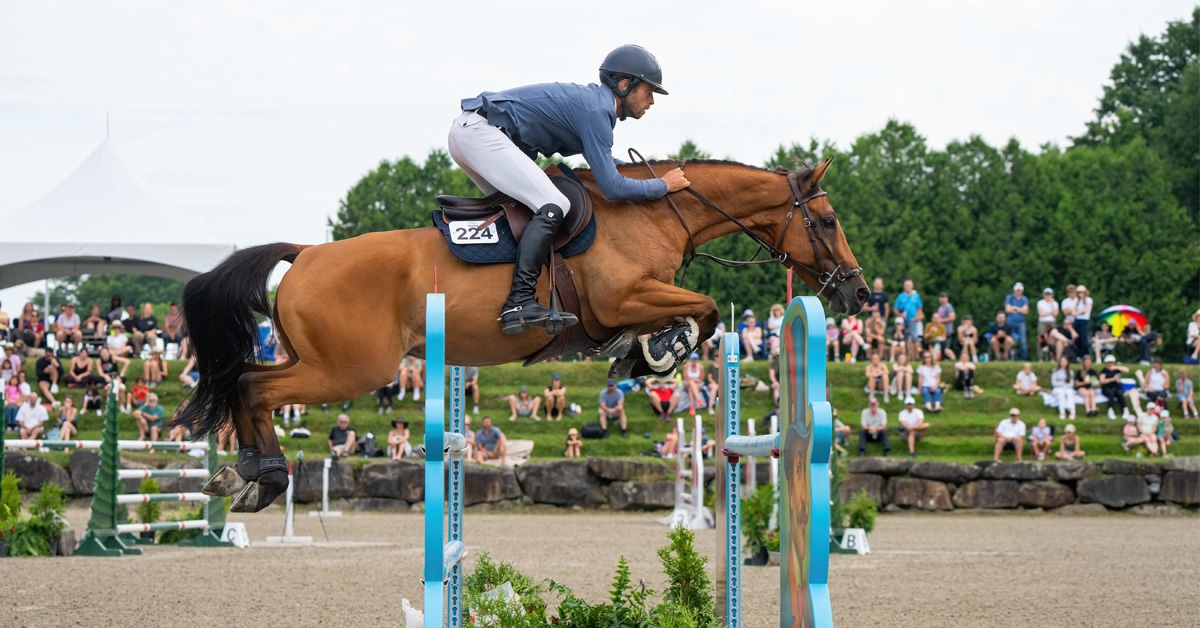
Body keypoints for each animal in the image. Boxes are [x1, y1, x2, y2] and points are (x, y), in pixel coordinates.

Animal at [182, 158, 868, 511]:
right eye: (829, 220)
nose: (859, 293)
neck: (655, 212)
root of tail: (305, 254)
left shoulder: (631, 301)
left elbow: (690, 314)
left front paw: (636, 355)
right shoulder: (622, 297)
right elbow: (699, 312)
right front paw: (654, 354)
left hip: (320, 360)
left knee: (247, 381)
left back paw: (242, 472)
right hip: (351, 368)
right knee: (255, 387)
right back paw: (266, 478)